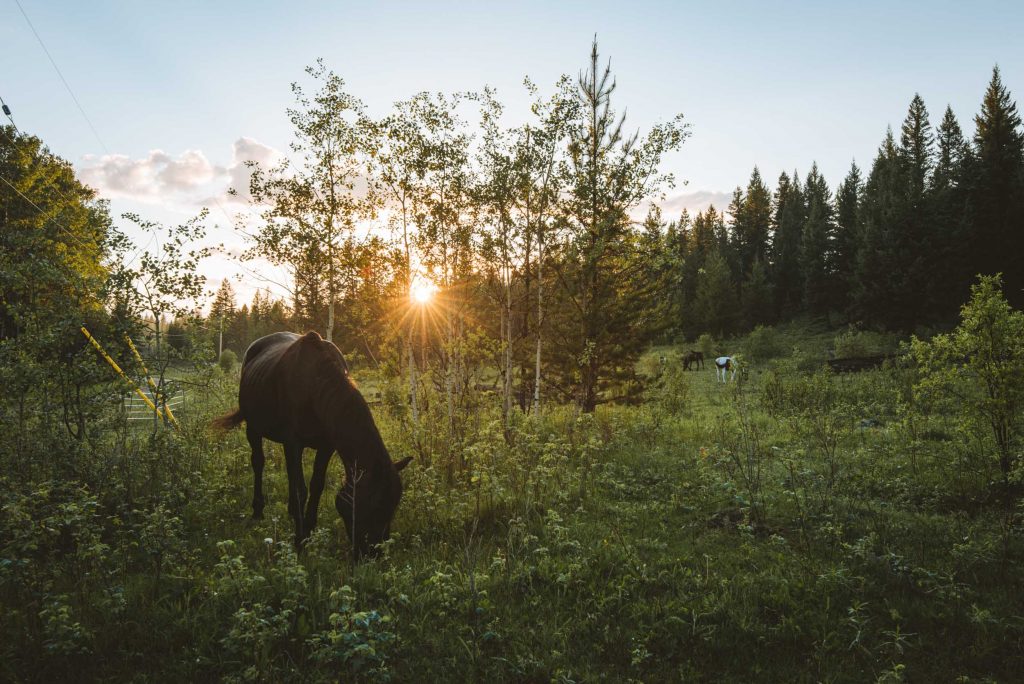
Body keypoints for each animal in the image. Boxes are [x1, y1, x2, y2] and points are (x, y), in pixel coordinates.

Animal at [215, 331, 411, 561]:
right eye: (372, 505)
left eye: (393, 507)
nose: (373, 555)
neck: (315, 385)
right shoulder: (293, 444)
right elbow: (300, 489)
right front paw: (299, 540)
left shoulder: (326, 446)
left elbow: (317, 485)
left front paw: (308, 529)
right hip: (253, 428)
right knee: (258, 463)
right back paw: (258, 510)